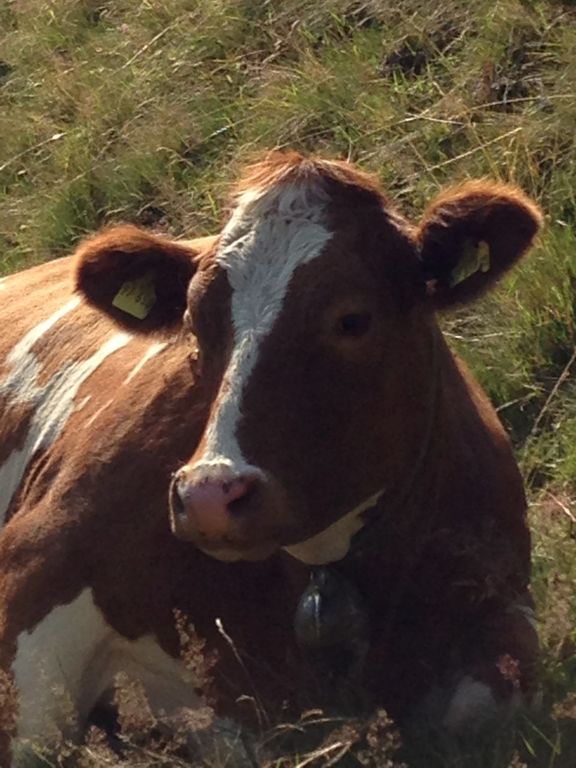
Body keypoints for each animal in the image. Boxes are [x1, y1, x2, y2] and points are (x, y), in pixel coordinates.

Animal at [0, 150, 544, 760]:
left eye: (352, 319)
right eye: (193, 323)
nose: (209, 497)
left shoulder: (499, 599)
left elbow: (475, 710)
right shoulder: (36, 564)